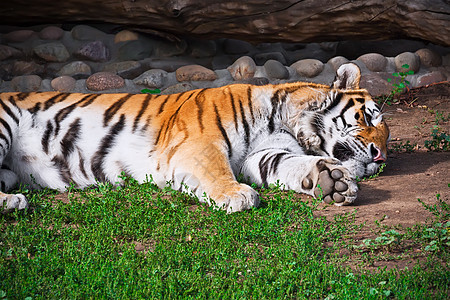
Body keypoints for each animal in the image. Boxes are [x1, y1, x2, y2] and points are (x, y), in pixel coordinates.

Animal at [0, 63, 388, 213]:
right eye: (367, 117)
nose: (380, 157)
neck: (287, 121)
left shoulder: (263, 155)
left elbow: (291, 165)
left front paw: (333, 181)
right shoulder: (199, 142)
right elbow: (216, 168)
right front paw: (237, 196)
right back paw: (14, 202)